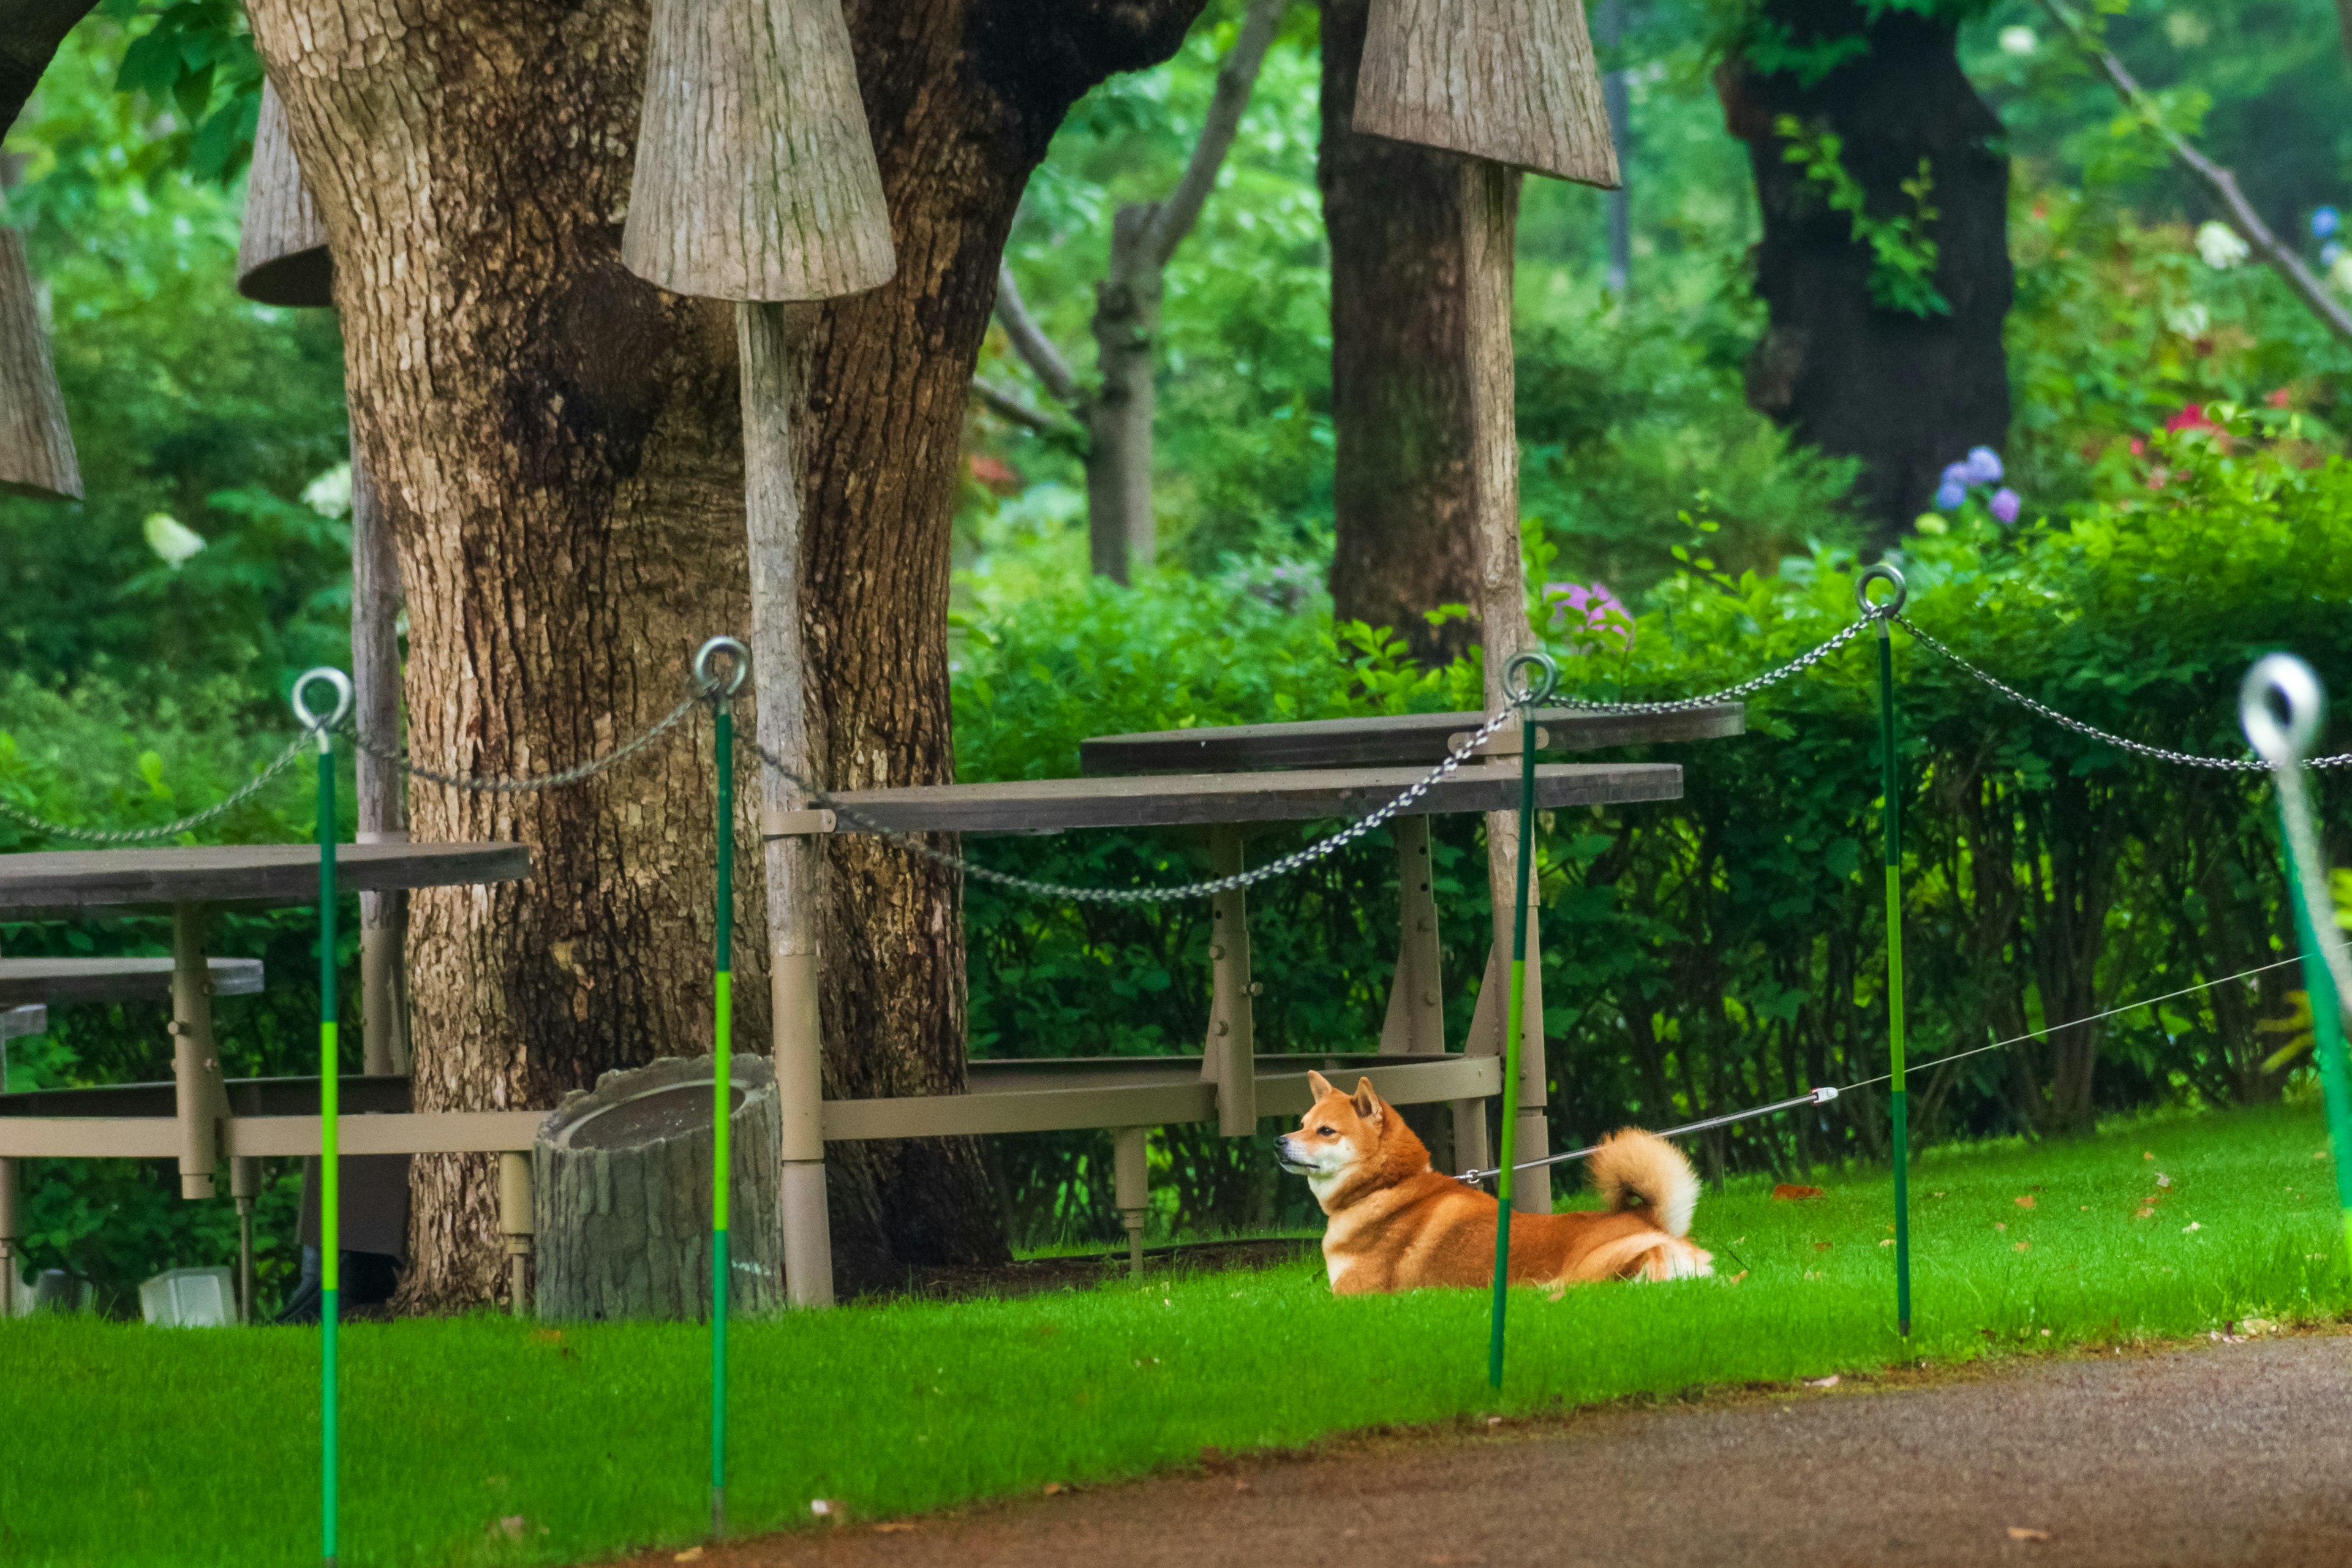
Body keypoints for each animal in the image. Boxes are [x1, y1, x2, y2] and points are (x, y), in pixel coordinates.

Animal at [1289, 1072, 1712, 1297]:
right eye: (1303, 1124)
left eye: (1326, 1131)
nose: (1279, 1141)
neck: (1385, 1188)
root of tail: (1652, 1223)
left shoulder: (1354, 1295)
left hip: (1583, 1274)